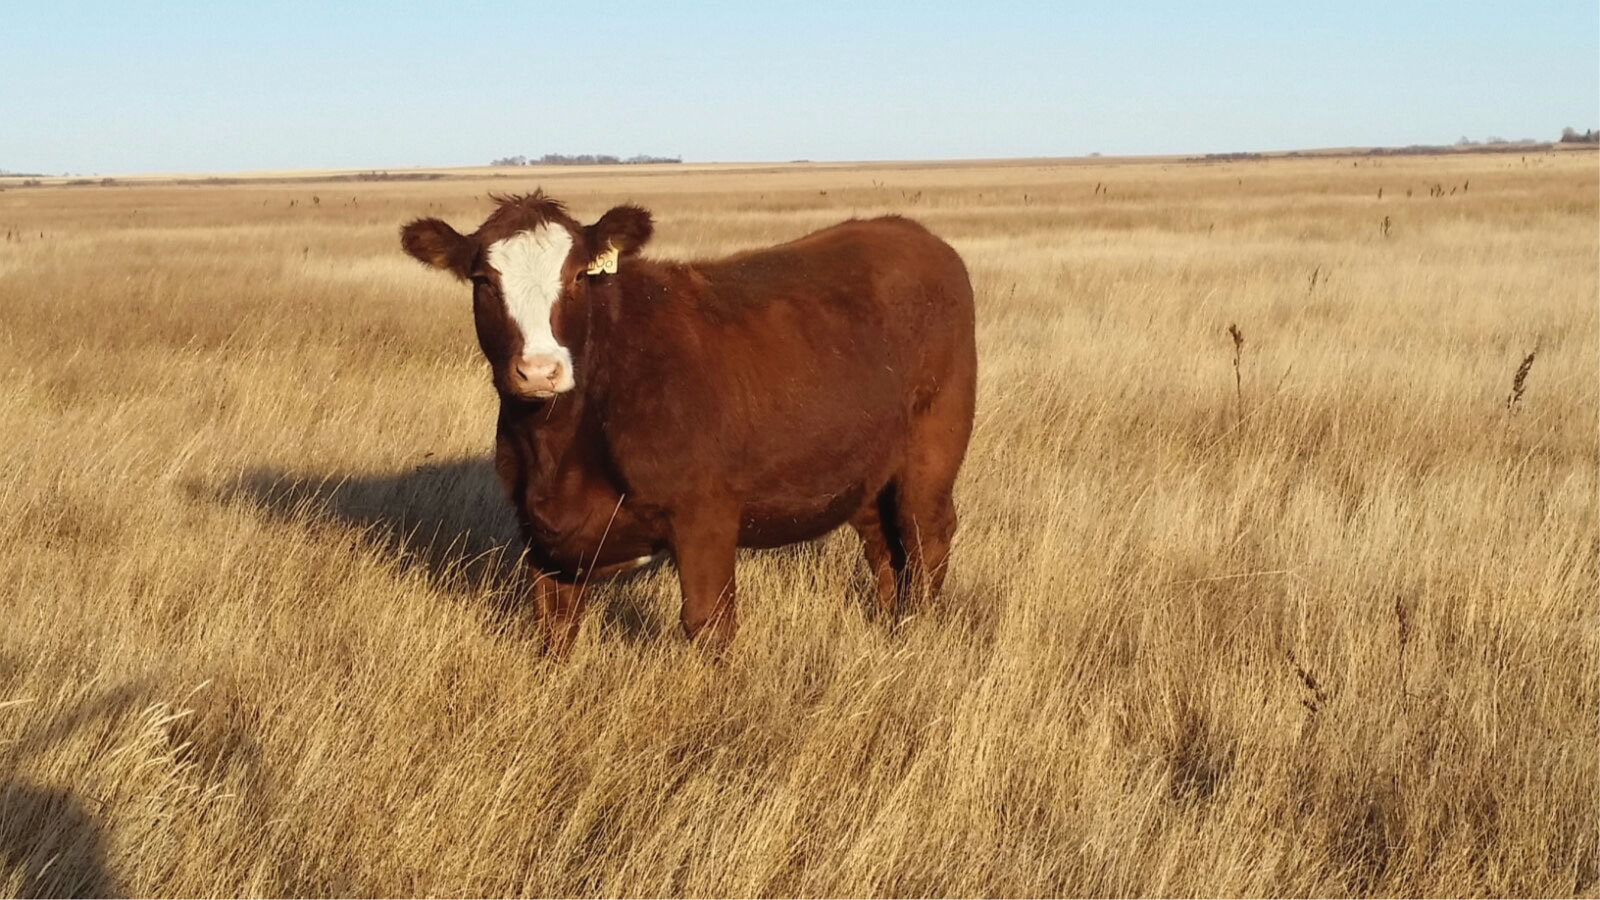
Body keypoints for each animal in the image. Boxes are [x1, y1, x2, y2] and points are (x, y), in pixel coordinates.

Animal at [399, 191, 976, 653]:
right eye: (482, 280)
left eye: (579, 276)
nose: (540, 370)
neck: (557, 449)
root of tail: (913, 234)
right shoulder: (541, 534)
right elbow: (555, 630)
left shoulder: (705, 516)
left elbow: (708, 625)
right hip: (863, 468)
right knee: (884, 548)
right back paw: (891, 630)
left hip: (932, 451)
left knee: (925, 538)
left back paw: (918, 634)